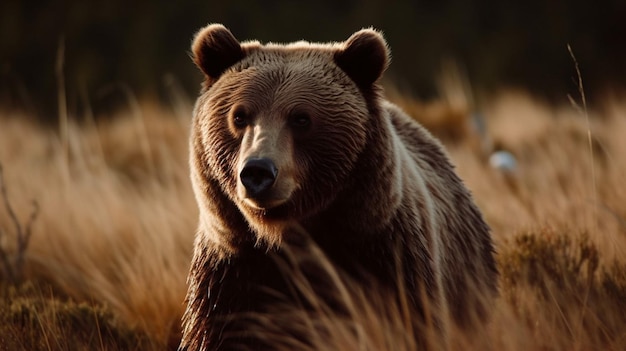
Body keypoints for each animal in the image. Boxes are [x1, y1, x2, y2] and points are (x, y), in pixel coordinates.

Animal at [180, 23, 498, 350]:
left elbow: (410, 324)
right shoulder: (232, 271)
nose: (258, 171)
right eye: (240, 115)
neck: (286, 233)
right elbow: (221, 332)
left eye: (301, 118)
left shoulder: (385, 256)